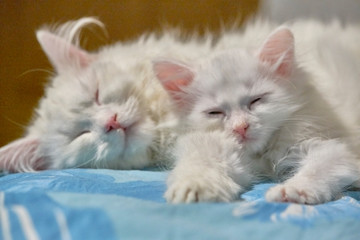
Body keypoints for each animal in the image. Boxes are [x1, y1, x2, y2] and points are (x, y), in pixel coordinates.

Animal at [155, 21, 360, 204]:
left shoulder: (333, 146)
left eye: (256, 101)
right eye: (215, 112)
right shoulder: (215, 145)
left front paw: (292, 191)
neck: (263, 154)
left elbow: (316, 170)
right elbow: (203, 164)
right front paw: (195, 187)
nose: (241, 127)